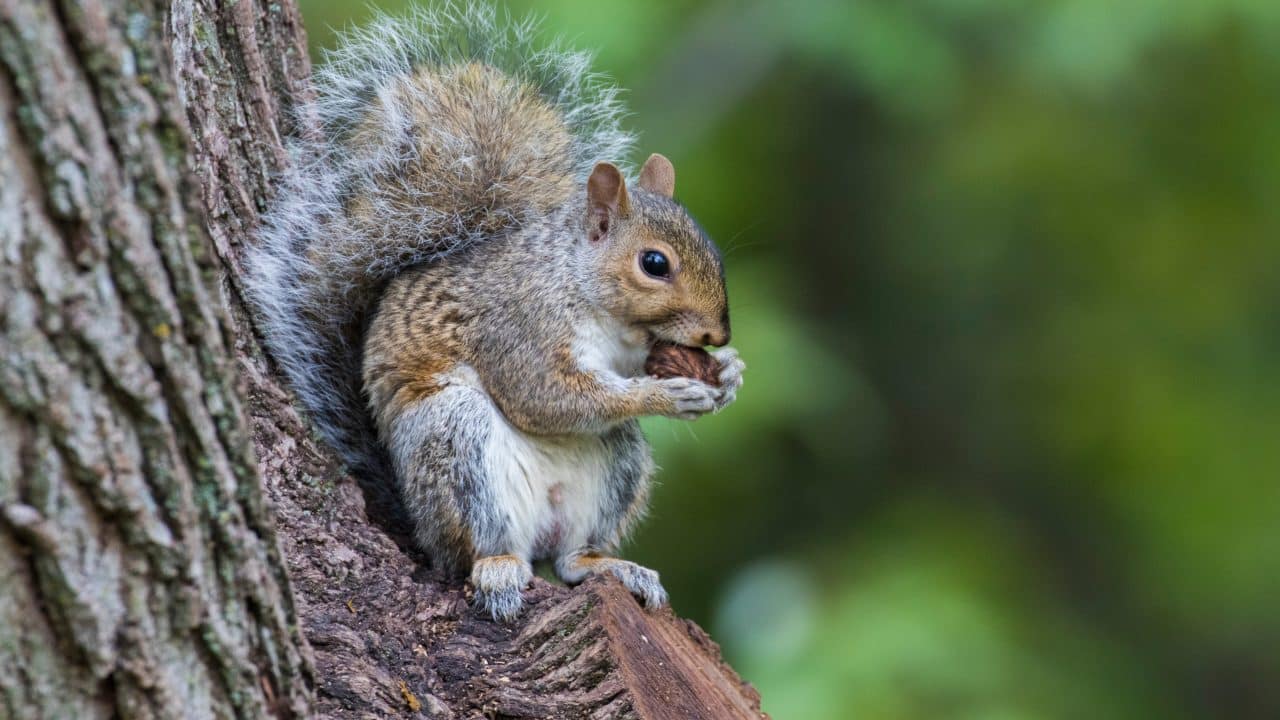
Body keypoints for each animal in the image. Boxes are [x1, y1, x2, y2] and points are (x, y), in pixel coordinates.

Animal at [247, 3, 744, 620]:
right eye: (654, 263)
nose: (718, 333)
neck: (586, 294)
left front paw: (728, 375)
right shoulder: (518, 326)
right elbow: (543, 395)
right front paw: (663, 395)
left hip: (616, 466)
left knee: (570, 560)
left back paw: (608, 565)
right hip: (455, 439)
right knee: (474, 549)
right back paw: (499, 568)